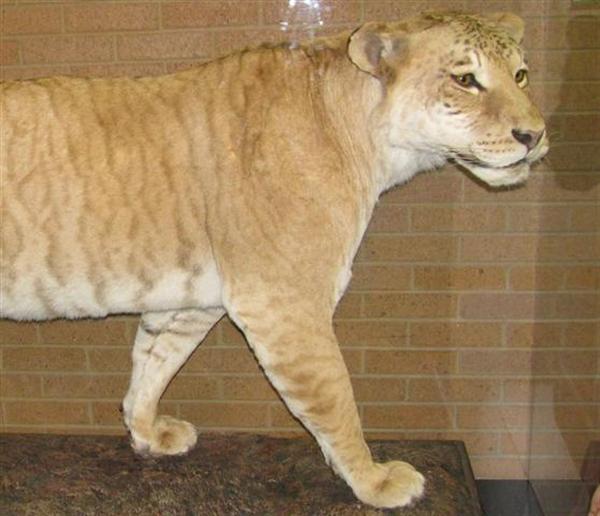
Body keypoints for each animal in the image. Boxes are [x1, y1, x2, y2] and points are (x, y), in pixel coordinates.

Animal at [1, 11, 548, 508]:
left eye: (521, 74)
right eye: (466, 79)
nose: (535, 135)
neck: (367, 140)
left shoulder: (198, 300)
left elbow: (156, 361)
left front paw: (146, 433)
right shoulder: (283, 305)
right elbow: (335, 399)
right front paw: (373, 481)